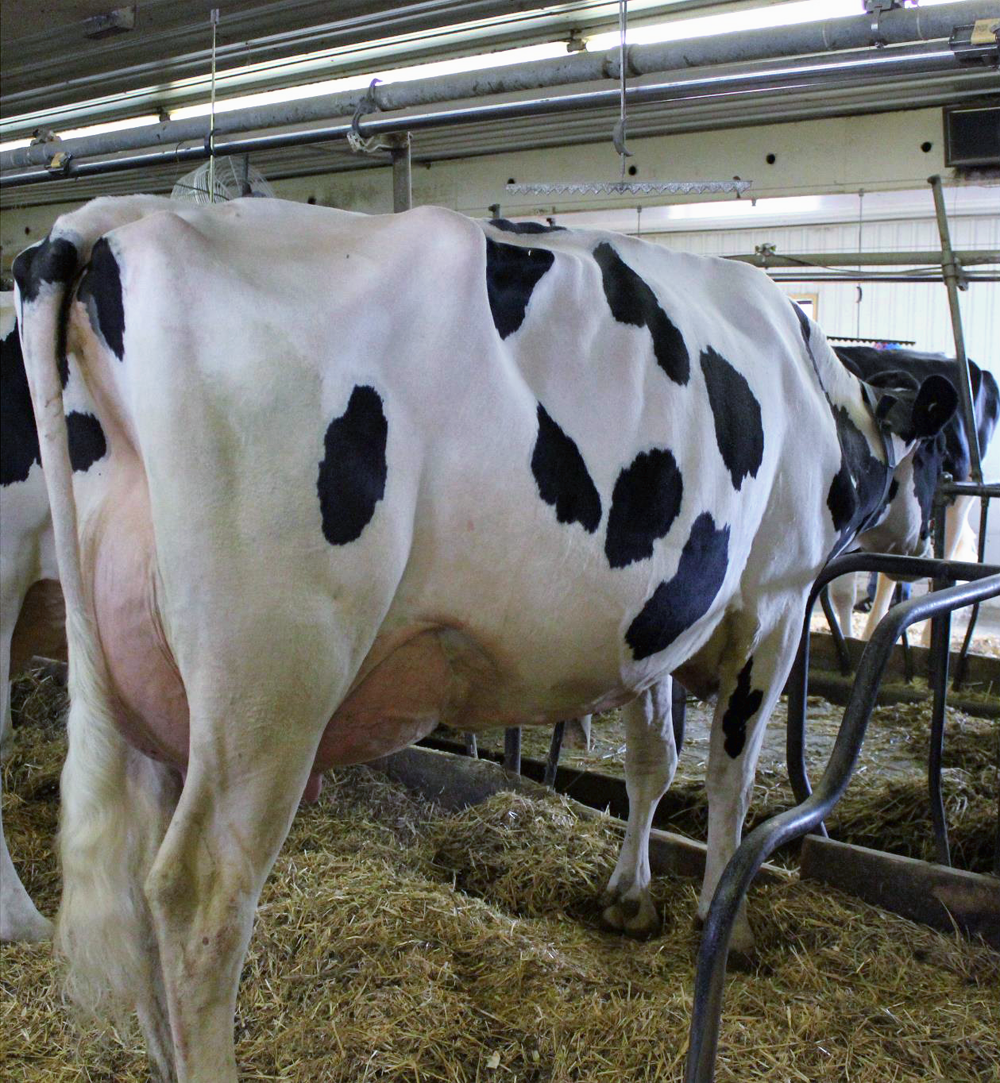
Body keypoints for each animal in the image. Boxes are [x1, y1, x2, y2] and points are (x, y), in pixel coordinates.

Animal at [14, 196, 957, 1082]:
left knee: (138, 880)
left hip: (147, 680)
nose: (921, 539)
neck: (815, 391)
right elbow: (730, 779)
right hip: (270, 679)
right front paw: (728, 919)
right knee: (199, 892)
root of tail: (118, 222)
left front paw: (629, 895)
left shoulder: (656, 623)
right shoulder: (773, 599)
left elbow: (652, 762)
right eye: (939, 459)